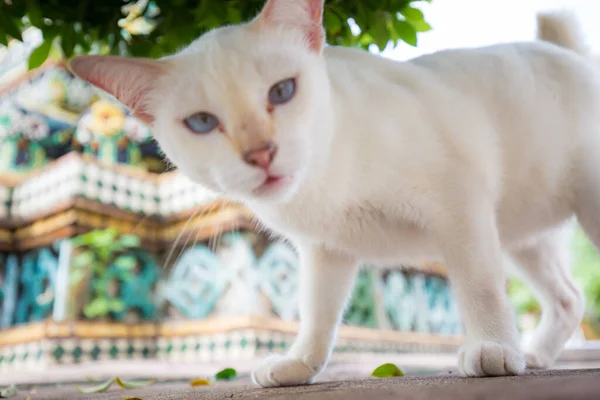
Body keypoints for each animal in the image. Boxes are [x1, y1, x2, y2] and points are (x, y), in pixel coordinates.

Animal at [70, 0, 596, 388]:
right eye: (201, 122)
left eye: (282, 92)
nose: (261, 153)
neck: (322, 187)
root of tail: (569, 56)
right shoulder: (326, 251)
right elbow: (317, 315)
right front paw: (298, 365)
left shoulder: (460, 207)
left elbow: (480, 288)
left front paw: (493, 348)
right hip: (521, 240)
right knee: (570, 299)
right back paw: (536, 354)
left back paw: (521, 352)